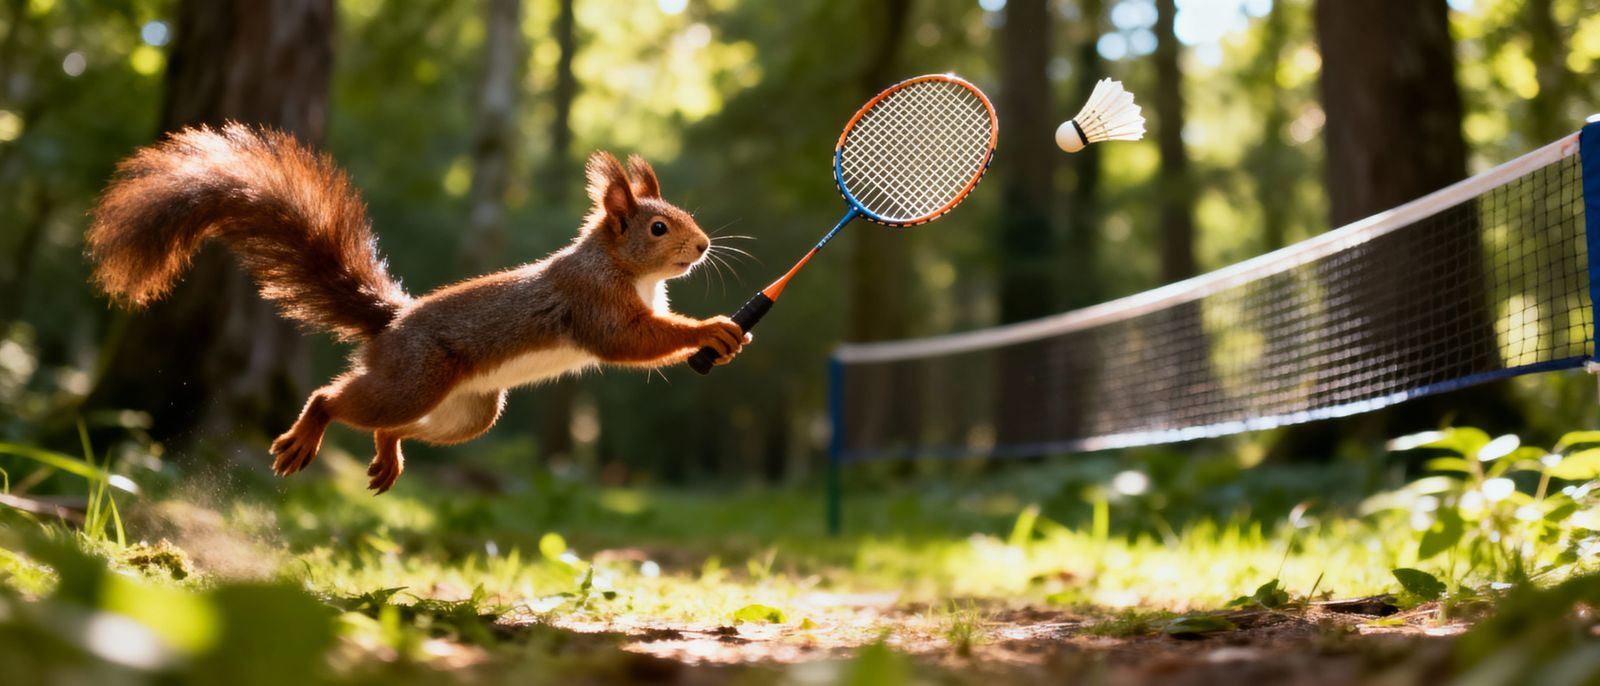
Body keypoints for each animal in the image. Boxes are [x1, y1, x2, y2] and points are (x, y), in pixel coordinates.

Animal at [86, 123, 748, 494]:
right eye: (659, 228)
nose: (703, 246)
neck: (632, 274)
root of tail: (391, 324)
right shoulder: (595, 304)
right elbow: (631, 341)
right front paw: (713, 328)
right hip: (415, 378)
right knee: (335, 399)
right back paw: (308, 432)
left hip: (468, 410)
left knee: (393, 423)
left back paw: (386, 453)